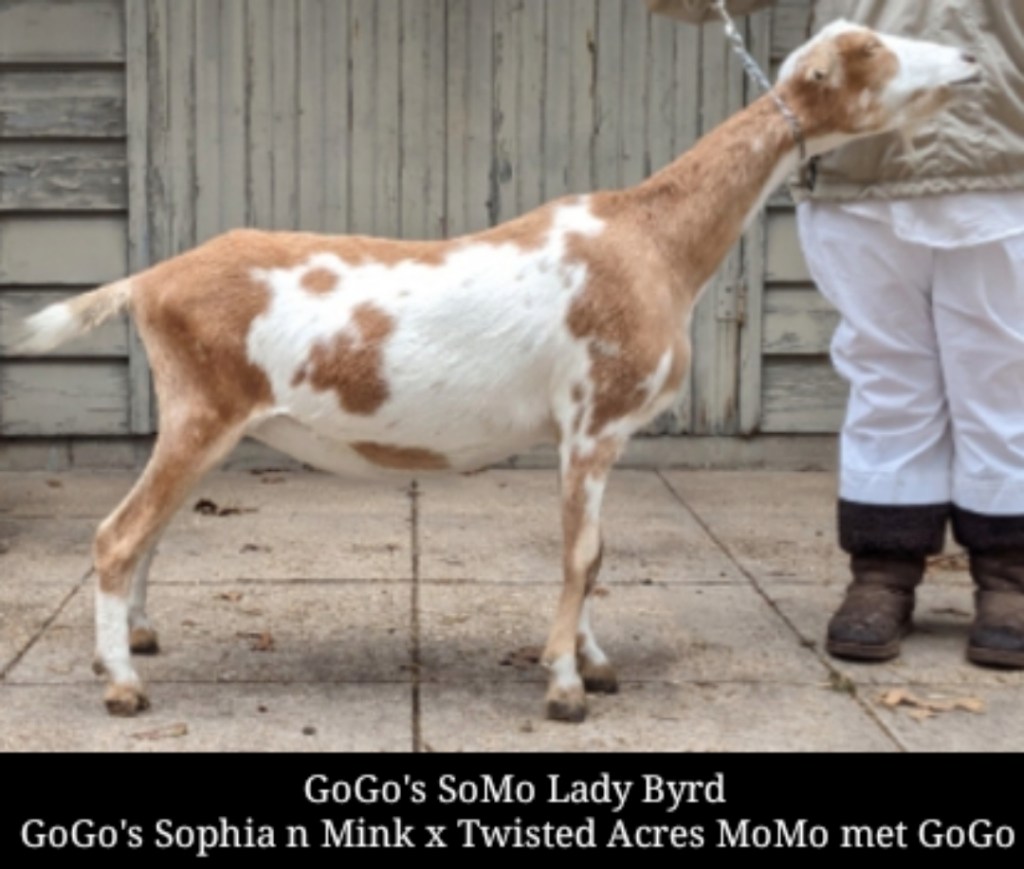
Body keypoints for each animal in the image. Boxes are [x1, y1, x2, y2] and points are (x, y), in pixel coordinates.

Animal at [15, 22, 979, 721]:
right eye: (874, 49)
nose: (971, 59)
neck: (654, 240)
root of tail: (149, 278)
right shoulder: (589, 423)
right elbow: (580, 550)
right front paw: (564, 686)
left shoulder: (600, 437)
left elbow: (599, 553)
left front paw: (596, 660)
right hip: (202, 408)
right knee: (117, 534)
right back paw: (122, 685)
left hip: (199, 419)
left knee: (148, 532)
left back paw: (131, 642)